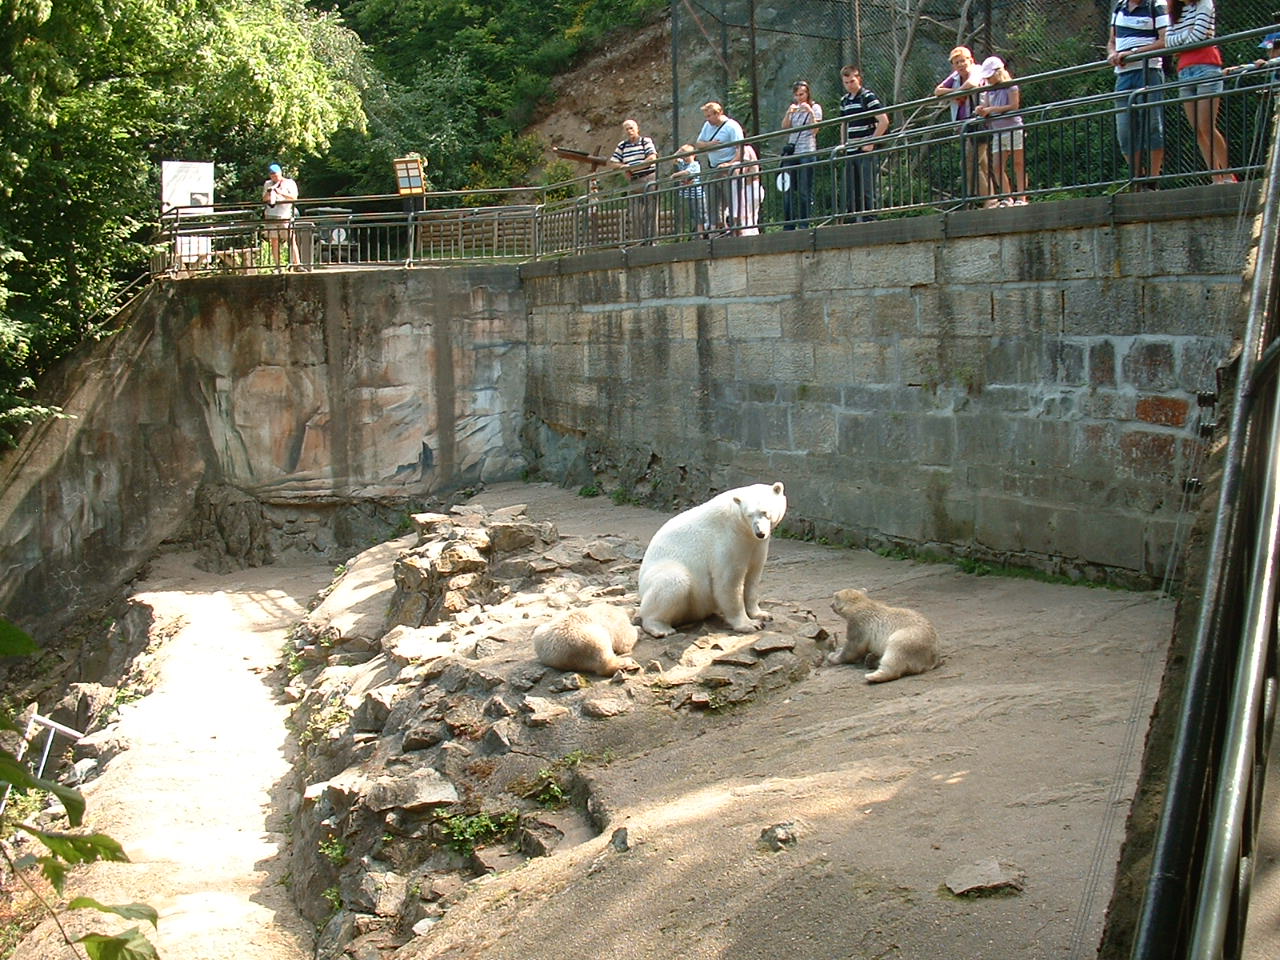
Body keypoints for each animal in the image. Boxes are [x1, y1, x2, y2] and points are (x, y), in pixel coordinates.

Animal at [637, 482, 788, 638]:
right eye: (749, 515)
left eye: (765, 512)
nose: (760, 532)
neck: (742, 528)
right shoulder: (729, 541)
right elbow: (728, 582)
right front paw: (750, 624)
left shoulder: (757, 545)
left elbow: (753, 576)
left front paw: (762, 614)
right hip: (662, 574)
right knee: (673, 581)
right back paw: (661, 628)